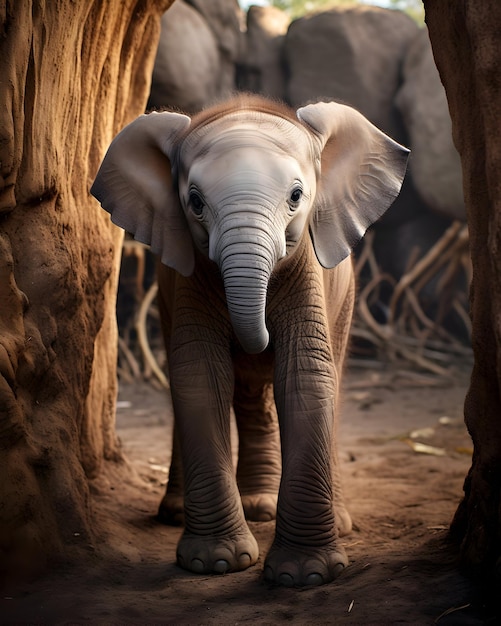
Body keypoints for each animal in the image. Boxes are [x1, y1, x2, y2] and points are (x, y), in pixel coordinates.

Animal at [92, 94, 408, 584]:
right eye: (194, 202)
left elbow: (307, 376)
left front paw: (303, 575)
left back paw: (291, 513)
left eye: (296, 197)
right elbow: (199, 377)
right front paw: (215, 563)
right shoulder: (189, 278)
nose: (256, 341)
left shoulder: (307, 270)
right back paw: (194, 511)